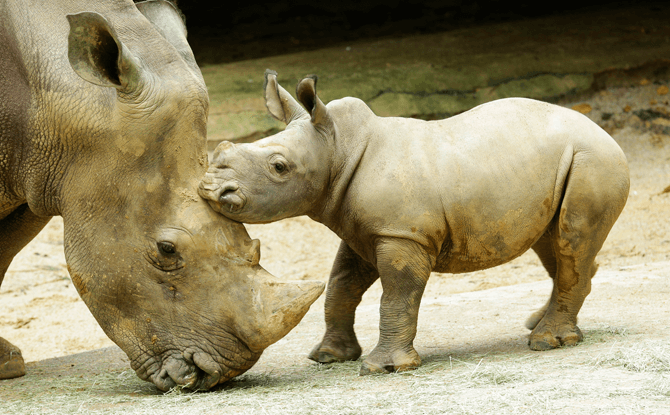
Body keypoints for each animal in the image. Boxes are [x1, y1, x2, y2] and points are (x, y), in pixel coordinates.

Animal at [198, 70, 632, 376]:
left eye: (278, 167)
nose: (211, 189)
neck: (337, 147)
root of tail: (606, 134)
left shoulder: (402, 234)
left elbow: (397, 295)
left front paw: (384, 368)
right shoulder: (364, 231)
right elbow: (341, 286)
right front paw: (328, 356)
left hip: (592, 162)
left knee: (571, 241)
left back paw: (546, 341)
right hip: (563, 167)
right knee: (553, 244)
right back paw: (537, 323)